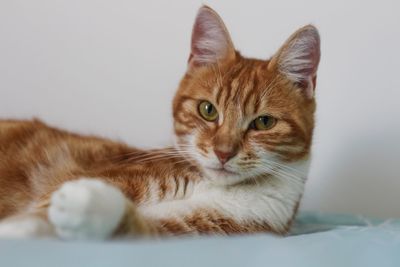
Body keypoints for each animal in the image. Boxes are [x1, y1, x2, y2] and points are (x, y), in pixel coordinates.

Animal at [0, 5, 318, 241]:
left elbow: (133, 228)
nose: (223, 153)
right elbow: (43, 209)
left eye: (263, 122)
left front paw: (91, 207)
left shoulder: (195, 231)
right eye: (208, 110)